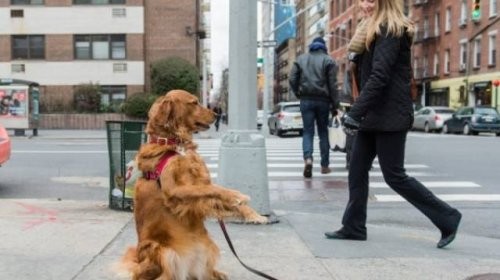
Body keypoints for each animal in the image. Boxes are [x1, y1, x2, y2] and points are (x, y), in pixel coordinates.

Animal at [120, 90, 270, 280]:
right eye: (194, 102)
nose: (217, 115)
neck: (175, 144)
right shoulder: (174, 190)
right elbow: (212, 189)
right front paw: (237, 196)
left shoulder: (198, 186)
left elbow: (214, 193)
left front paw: (253, 214)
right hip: (162, 251)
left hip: (208, 245)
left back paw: (217, 274)